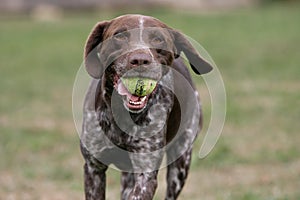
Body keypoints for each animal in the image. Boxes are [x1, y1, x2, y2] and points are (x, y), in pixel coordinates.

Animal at [79, 14, 211, 200]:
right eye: (120, 35)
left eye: (158, 39)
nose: (140, 59)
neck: (121, 114)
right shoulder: (94, 168)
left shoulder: (146, 174)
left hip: (180, 163)